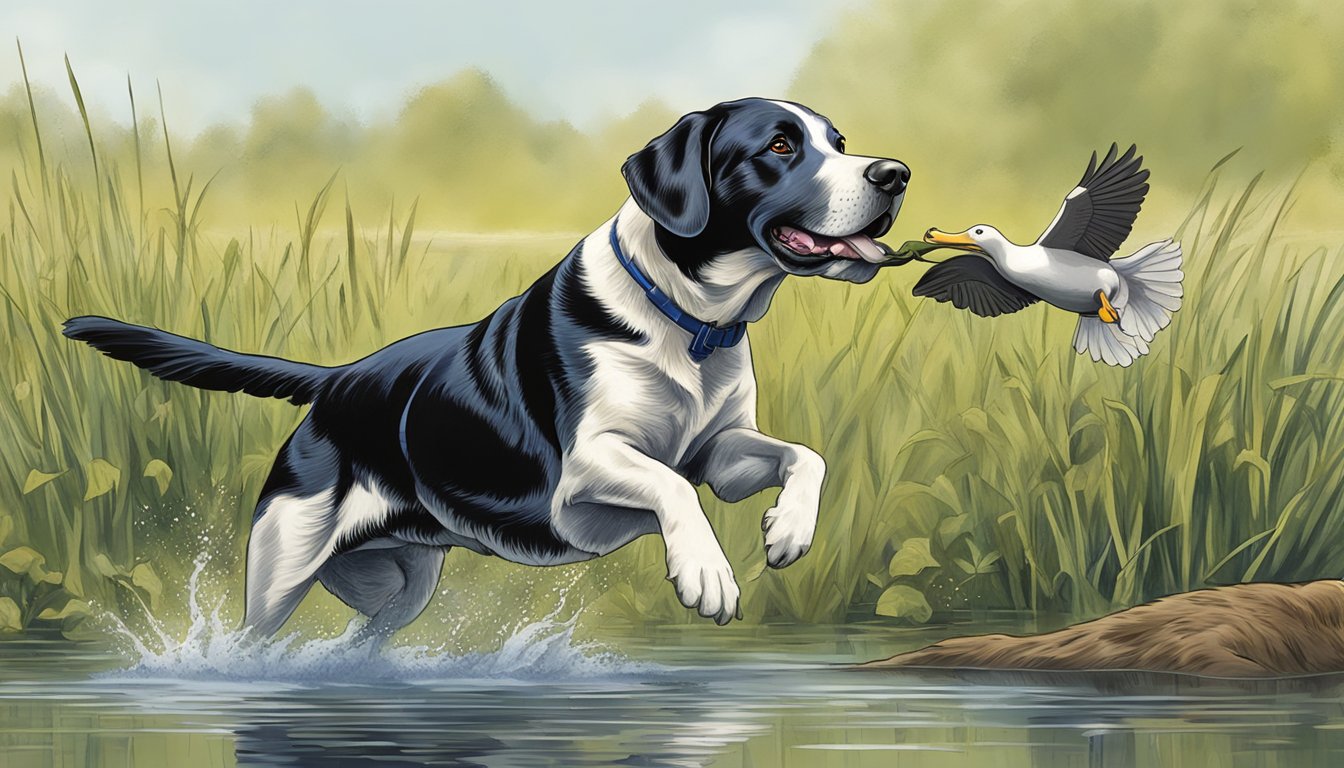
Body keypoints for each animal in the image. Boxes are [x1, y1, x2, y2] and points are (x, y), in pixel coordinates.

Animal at [63, 97, 908, 637]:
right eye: (780, 147)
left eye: (839, 142)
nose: (895, 173)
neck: (684, 319)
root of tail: (337, 380)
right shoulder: (589, 468)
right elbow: (671, 487)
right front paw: (707, 574)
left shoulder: (723, 455)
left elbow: (804, 456)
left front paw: (787, 532)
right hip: (282, 571)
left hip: (402, 591)